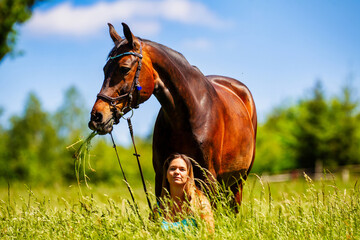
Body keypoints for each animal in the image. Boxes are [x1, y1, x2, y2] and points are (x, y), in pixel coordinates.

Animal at [87, 23, 258, 205]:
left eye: (124, 68)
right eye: (105, 69)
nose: (96, 116)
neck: (189, 116)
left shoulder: (208, 178)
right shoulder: (162, 175)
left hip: (238, 182)